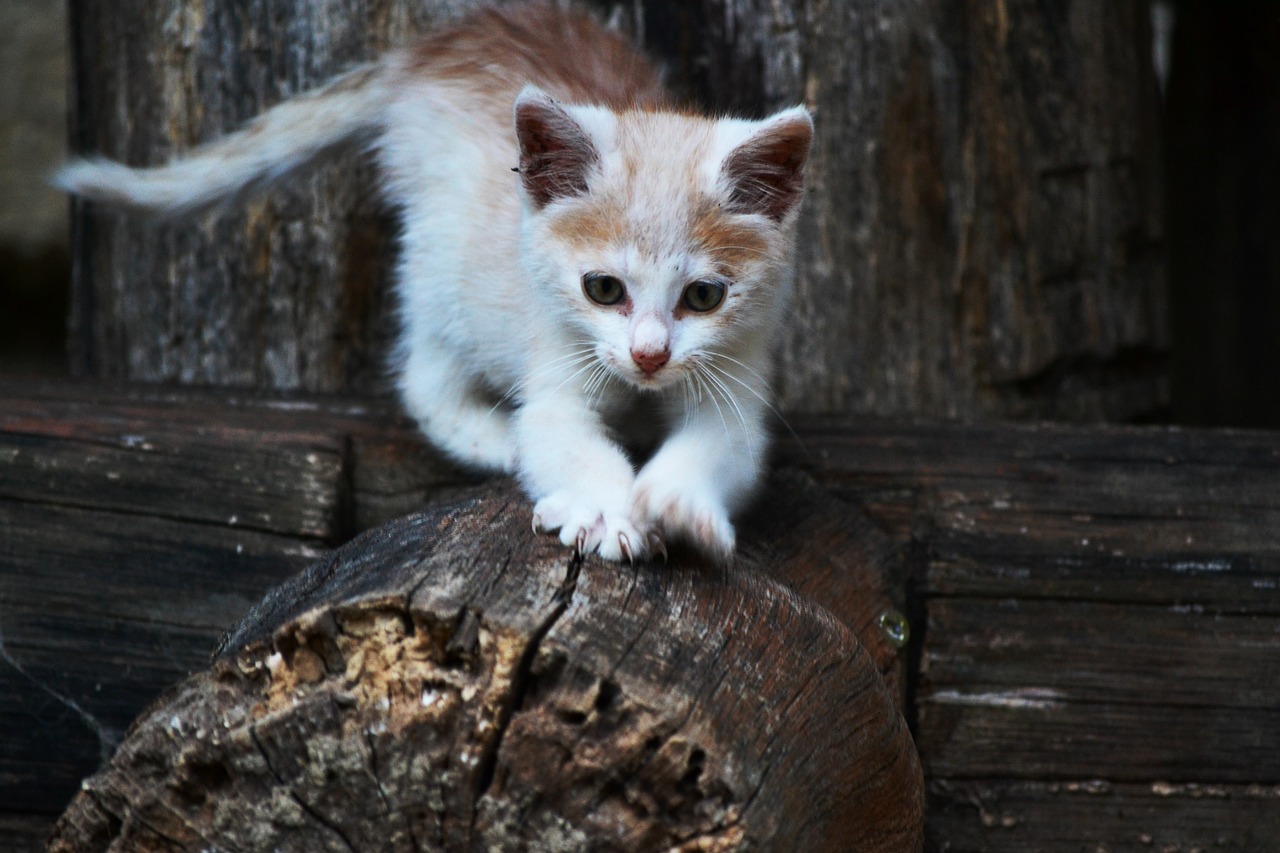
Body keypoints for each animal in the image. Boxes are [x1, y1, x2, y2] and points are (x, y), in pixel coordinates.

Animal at [57, 4, 808, 563]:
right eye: (602, 289)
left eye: (704, 297)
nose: (649, 356)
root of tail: (433, 50)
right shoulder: (555, 364)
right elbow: (559, 436)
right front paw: (606, 509)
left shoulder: (736, 375)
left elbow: (723, 446)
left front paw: (678, 502)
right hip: (442, 268)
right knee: (424, 379)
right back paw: (496, 439)